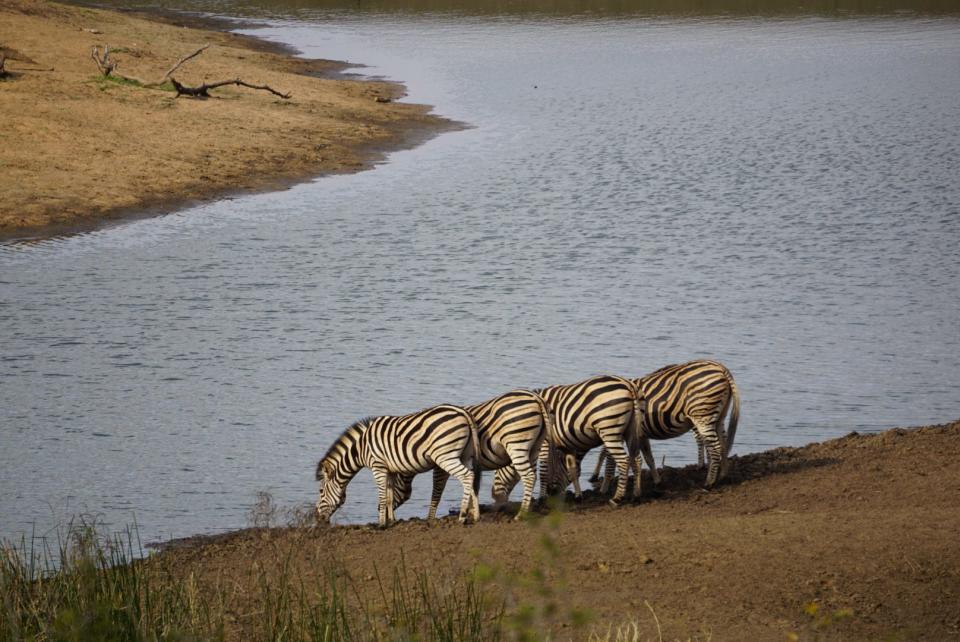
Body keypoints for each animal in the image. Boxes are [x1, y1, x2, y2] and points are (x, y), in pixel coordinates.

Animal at [316, 404, 480, 524]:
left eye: (320, 491)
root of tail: (462, 411)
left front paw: (381, 524)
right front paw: (391, 521)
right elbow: (389, 496)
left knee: (467, 476)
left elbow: (382, 497)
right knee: (473, 477)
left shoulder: (378, 466)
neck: (362, 448)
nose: (317, 517)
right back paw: (476, 515)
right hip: (465, 456)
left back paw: (462, 516)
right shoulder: (390, 470)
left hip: (445, 456)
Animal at [384, 388, 556, 516]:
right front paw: (472, 510)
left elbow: (437, 491)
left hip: (517, 442)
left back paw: (521, 514)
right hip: (534, 446)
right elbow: (473, 485)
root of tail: (536, 398)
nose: (382, 515)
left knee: (529, 476)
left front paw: (431, 518)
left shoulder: (441, 462)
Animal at [492, 376, 640, 504]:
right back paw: (636, 494)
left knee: (624, 460)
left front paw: (541, 497)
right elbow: (573, 469)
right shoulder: (566, 445)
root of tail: (627, 384)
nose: (493, 496)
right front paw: (577, 495)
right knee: (636, 459)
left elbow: (544, 470)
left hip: (610, 430)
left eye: (497, 471)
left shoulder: (544, 442)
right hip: (629, 431)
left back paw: (617, 498)